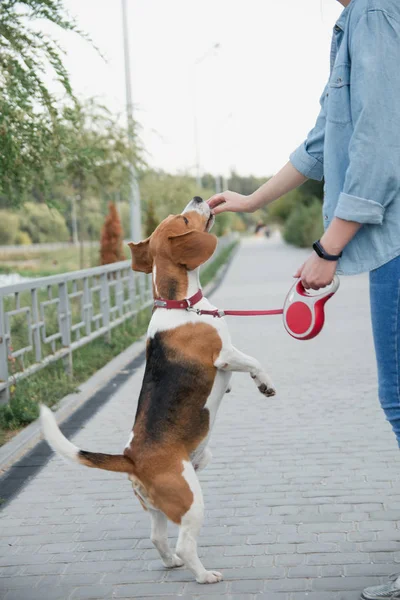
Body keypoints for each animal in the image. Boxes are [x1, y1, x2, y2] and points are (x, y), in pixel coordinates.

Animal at [41, 199, 276, 584]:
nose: (198, 199)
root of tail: (132, 459)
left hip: (156, 505)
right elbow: (254, 360)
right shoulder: (224, 356)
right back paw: (203, 574)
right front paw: (265, 383)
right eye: (183, 218)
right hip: (190, 500)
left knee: (157, 537)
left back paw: (171, 562)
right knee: (184, 543)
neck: (178, 303)